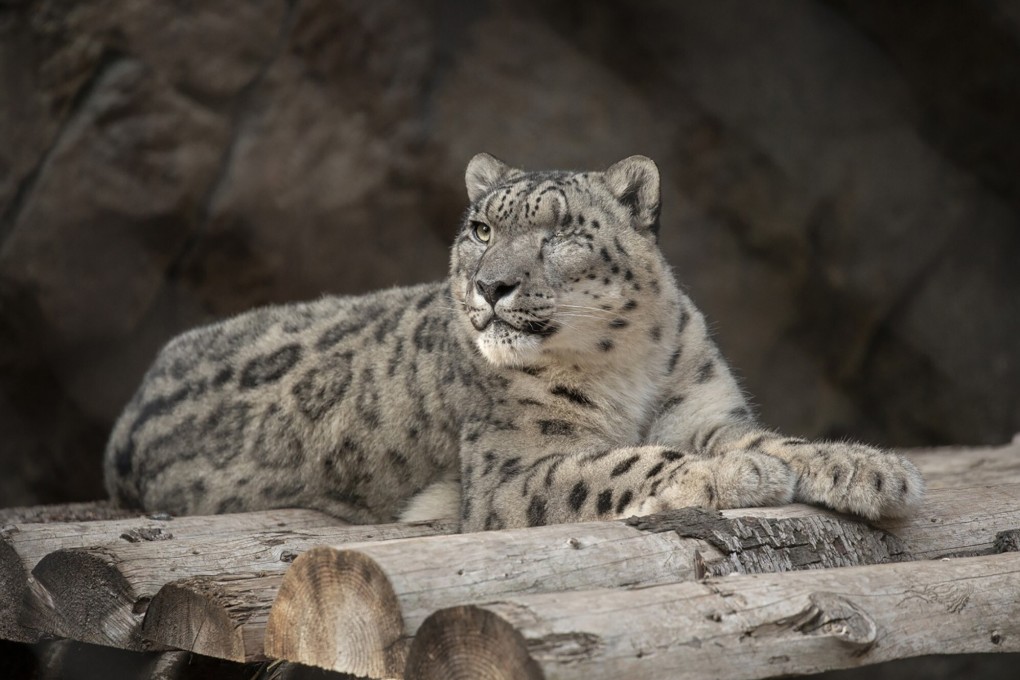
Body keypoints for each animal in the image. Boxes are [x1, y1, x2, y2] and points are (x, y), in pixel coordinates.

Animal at [104, 153, 924, 531]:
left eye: (561, 232)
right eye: (480, 228)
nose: (490, 285)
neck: (628, 368)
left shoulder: (705, 411)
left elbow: (771, 439)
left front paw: (868, 468)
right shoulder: (514, 466)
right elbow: (620, 462)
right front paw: (736, 476)